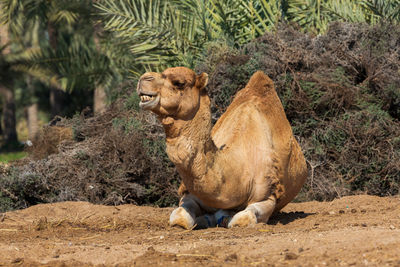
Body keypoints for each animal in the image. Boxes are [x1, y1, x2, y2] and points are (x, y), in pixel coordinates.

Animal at [136, 66, 308, 228]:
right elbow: (179, 217)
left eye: (179, 83)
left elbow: (242, 218)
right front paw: (206, 218)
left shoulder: (268, 195)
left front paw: (224, 217)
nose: (144, 78)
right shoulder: (190, 193)